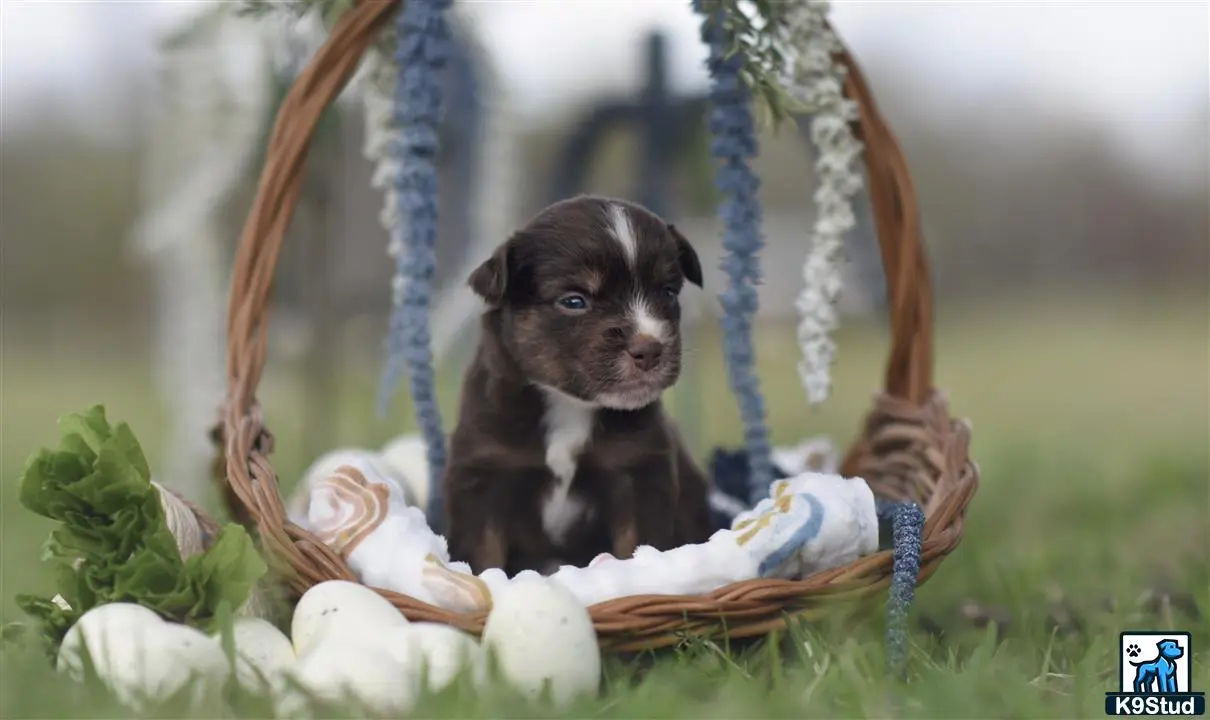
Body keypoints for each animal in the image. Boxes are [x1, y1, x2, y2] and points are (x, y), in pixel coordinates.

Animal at [442, 196, 706, 573]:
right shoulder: (484, 474)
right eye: (574, 301)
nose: (650, 349)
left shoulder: (638, 471)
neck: (569, 405)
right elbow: (483, 556)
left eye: (668, 292)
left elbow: (637, 546)